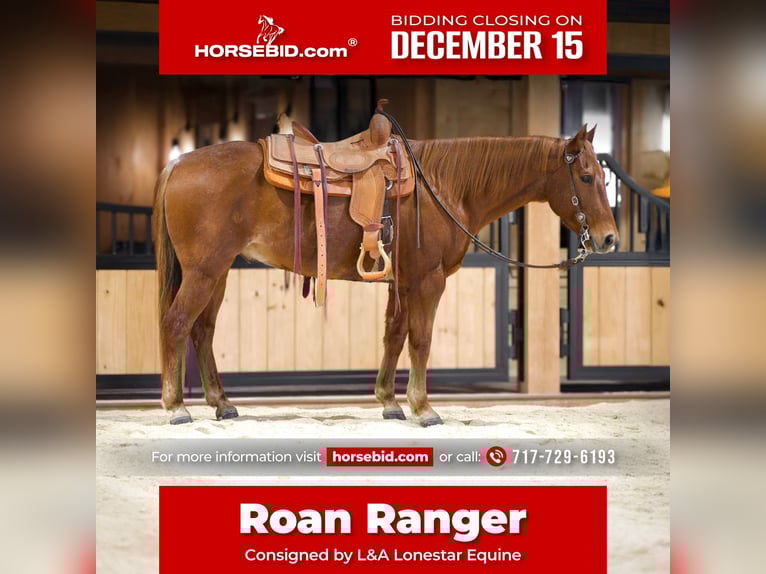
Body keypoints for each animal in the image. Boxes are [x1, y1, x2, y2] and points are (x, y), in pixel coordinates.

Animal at [152, 123, 618, 426]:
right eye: (586, 176)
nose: (610, 239)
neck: (444, 187)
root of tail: (177, 164)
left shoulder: (405, 283)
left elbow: (394, 336)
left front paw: (389, 402)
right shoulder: (429, 281)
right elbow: (421, 340)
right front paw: (423, 408)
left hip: (218, 272)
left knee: (202, 330)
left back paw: (221, 403)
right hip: (205, 271)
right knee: (176, 324)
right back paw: (176, 407)